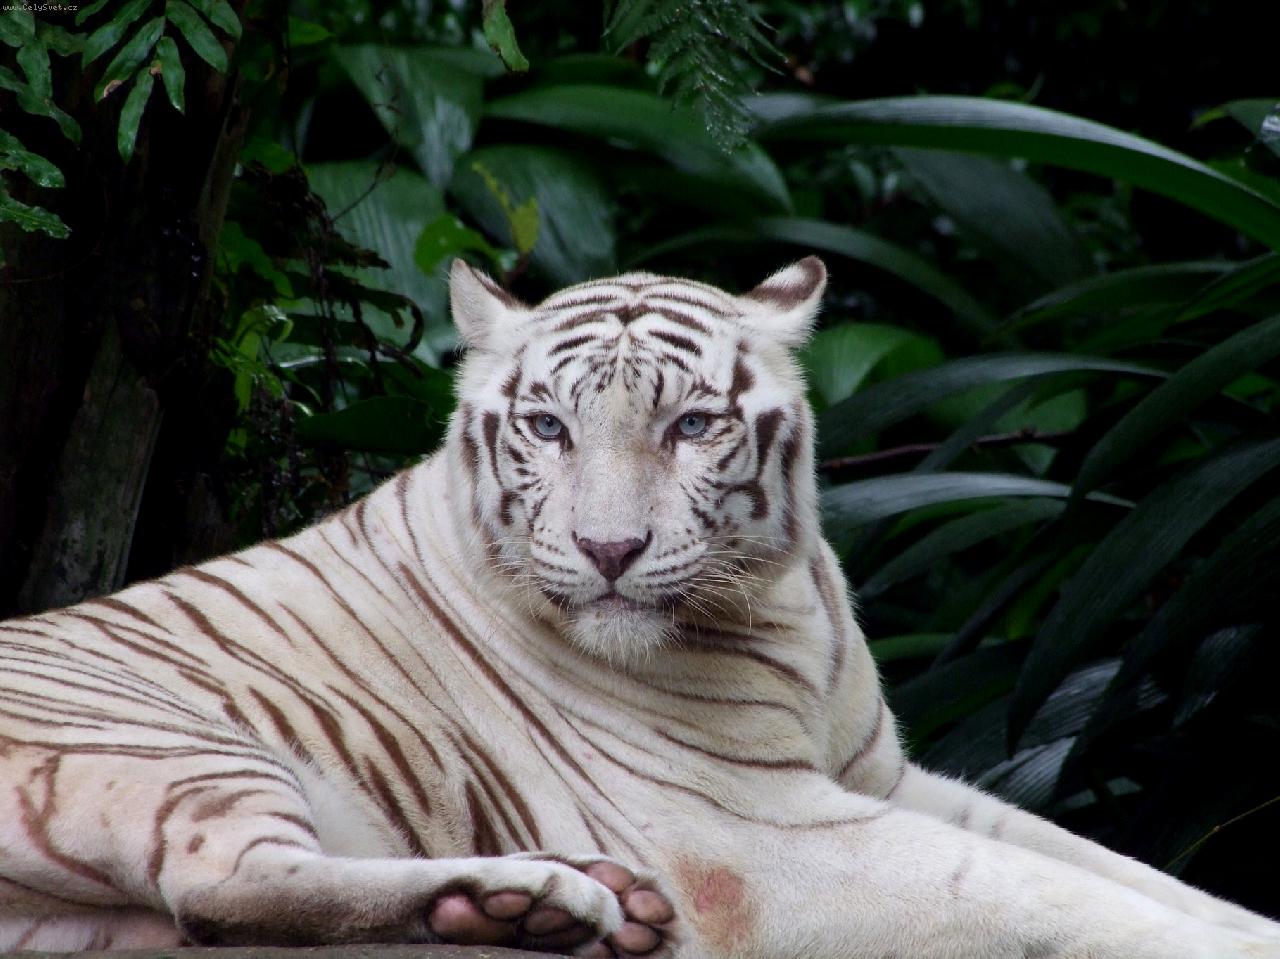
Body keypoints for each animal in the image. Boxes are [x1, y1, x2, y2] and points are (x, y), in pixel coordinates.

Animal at [1, 257, 1278, 958]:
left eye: (692, 425)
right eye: (547, 427)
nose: (609, 549)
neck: (784, 608)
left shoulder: (880, 776)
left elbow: (1111, 863)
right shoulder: (758, 833)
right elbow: (1044, 890)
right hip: (160, 737)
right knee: (221, 887)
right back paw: (537, 891)